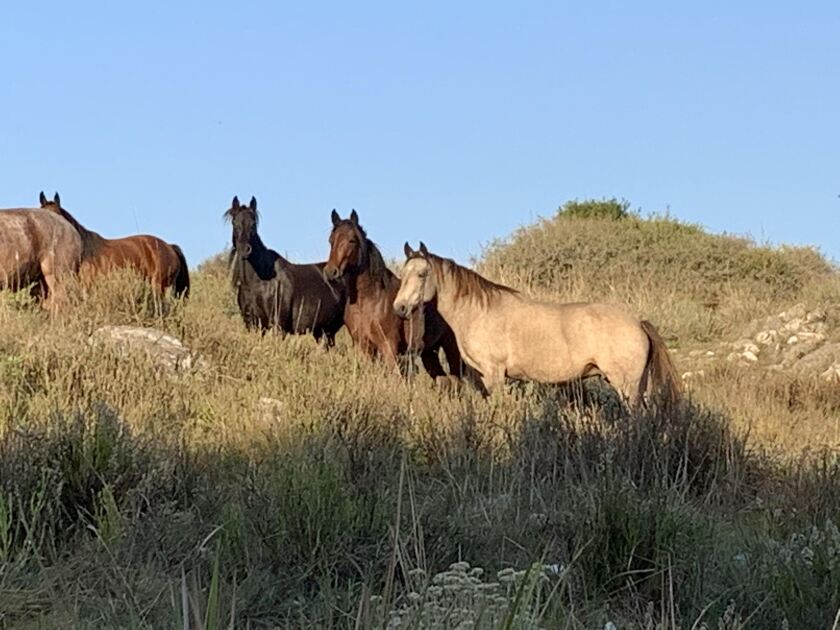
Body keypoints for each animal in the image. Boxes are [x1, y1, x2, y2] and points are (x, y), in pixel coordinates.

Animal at [224, 196, 345, 344]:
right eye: (234, 223)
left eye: (253, 224)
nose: (244, 249)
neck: (257, 282)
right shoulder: (253, 325)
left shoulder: (278, 326)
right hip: (323, 332)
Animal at [324, 210, 464, 384]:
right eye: (331, 240)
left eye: (352, 240)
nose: (331, 272)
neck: (369, 300)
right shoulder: (363, 345)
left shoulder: (388, 347)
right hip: (429, 354)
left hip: (451, 348)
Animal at [393, 243, 680, 408]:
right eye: (402, 274)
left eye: (422, 274)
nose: (400, 308)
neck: (479, 312)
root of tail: (638, 323)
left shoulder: (495, 374)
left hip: (626, 385)